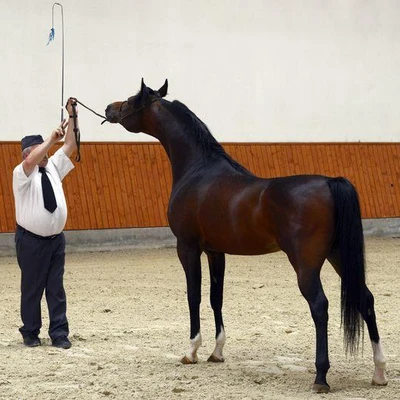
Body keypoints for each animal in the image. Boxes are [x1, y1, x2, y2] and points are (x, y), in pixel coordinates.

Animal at [104, 79, 386, 392]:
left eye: (131, 99)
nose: (108, 108)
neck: (198, 170)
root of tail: (330, 182)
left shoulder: (187, 247)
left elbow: (194, 296)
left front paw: (191, 351)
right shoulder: (215, 251)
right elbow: (216, 297)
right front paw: (216, 352)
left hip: (306, 265)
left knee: (320, 307)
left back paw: (321, 376)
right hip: (339, 257)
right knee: (365, 299)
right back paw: (379, 372)